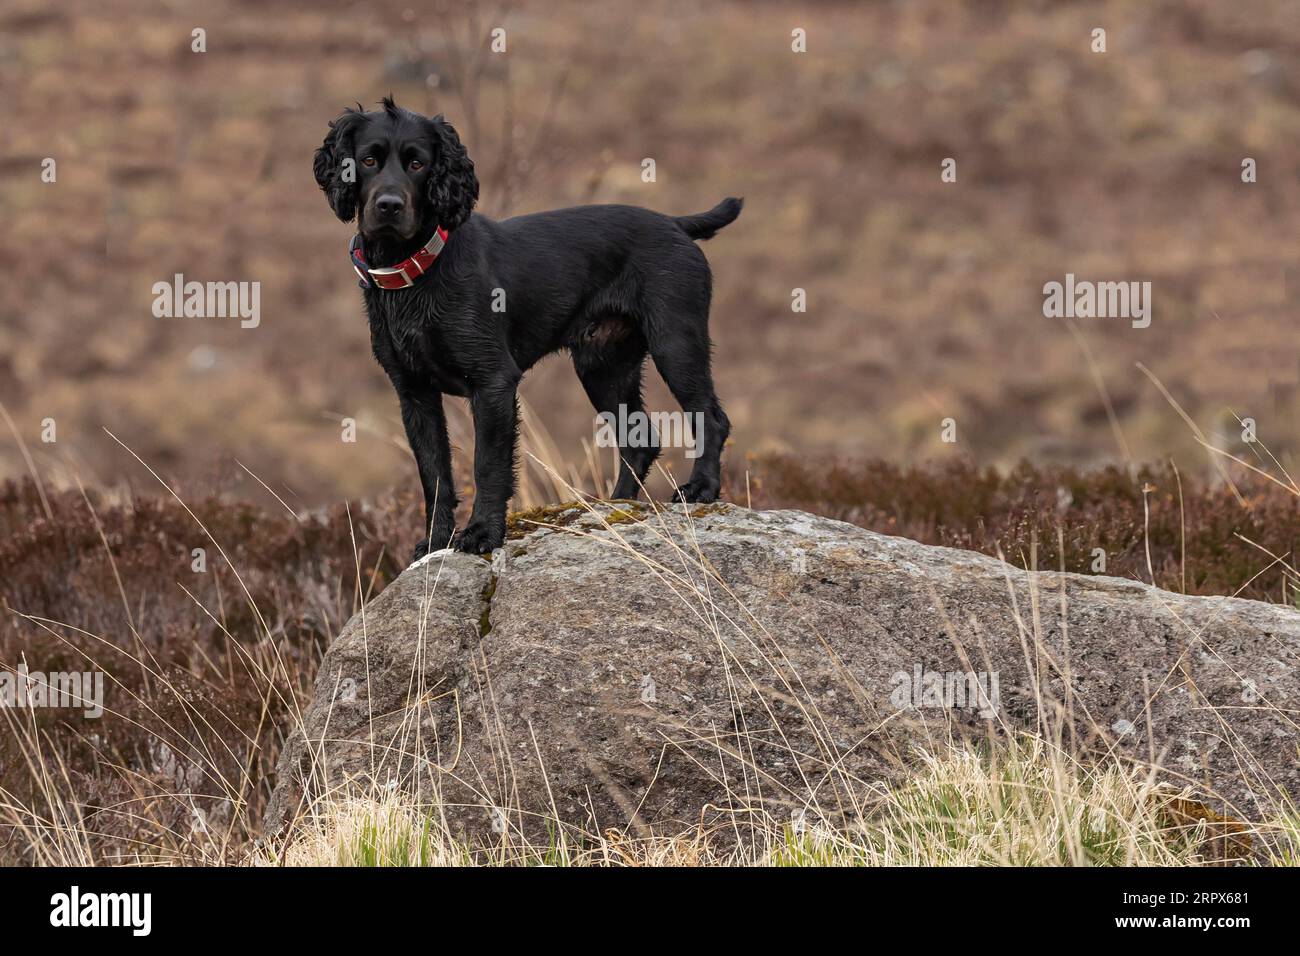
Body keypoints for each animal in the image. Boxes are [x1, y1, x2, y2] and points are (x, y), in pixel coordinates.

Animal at [313, 98, 743, 556]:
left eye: (417, 163)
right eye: (368, 160)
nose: (389, 205)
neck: (417, 271)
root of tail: (676, 223)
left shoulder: (493, 383)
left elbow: (488, 465)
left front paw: (482, 532)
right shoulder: (414, 392)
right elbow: (435, 473)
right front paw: (434, 541)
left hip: (675, 343)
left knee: (711, 417)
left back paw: (700, 489)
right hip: (604, 367)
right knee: (639, 440)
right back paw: (615, 507)